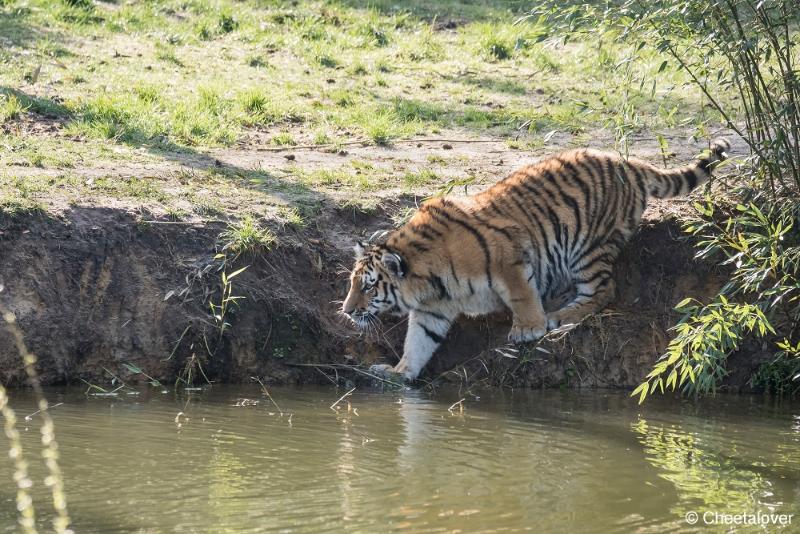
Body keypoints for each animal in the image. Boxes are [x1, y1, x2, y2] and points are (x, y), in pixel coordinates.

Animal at [340, 138, 728, 382]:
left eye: (369, 287)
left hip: (588, 247)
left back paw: (560, 315)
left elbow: (521, 295)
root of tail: (626, 161)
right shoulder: (431, 312)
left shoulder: (508, 258)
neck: (427, 282)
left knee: (604, 290)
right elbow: (417, 344)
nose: (346, 310)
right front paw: (398, 373)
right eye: (352, 284)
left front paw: (528, 328)